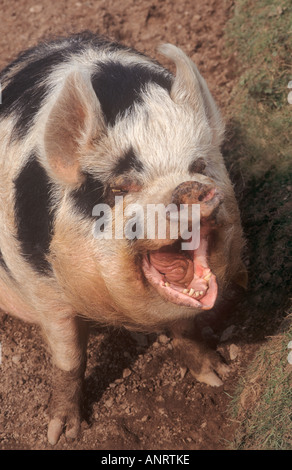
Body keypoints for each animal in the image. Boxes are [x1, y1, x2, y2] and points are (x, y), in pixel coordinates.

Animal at [0, 32, 246, 444]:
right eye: (121, 187)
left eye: (199, 166)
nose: (190, 188)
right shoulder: (42, 286)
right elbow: (69, 357)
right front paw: (61, 434)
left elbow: (186, 327)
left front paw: (218, 375)